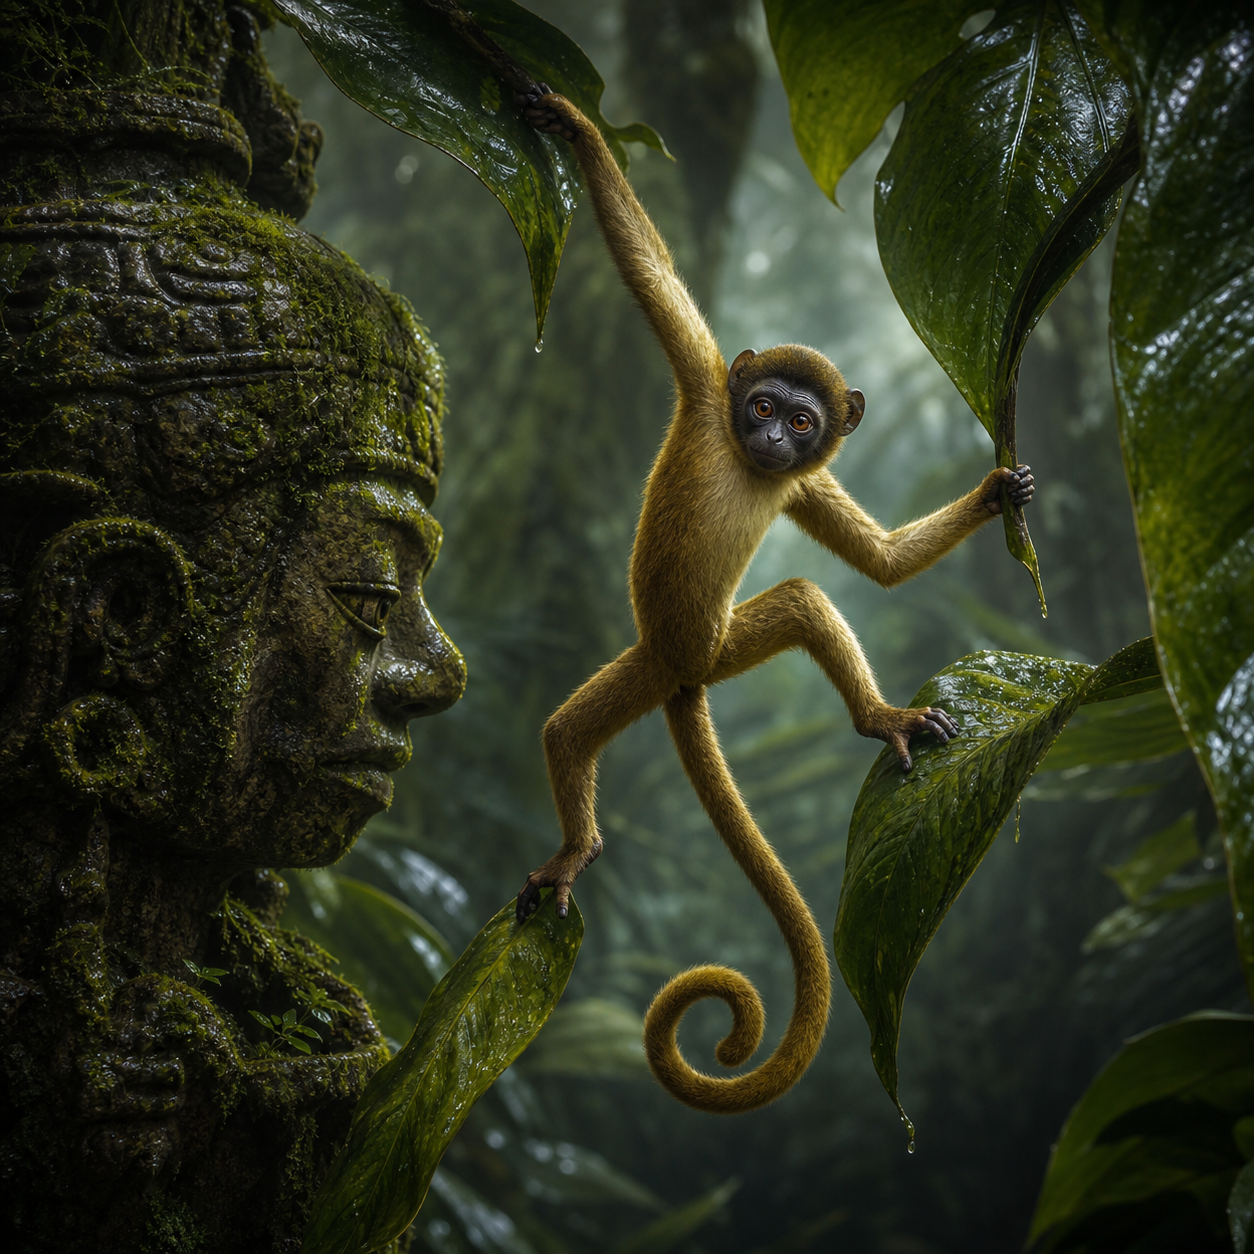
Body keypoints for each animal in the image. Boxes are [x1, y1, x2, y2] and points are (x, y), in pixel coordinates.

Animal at [513, 90, 1034, 1114]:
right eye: (759, 406)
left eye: (803, 420)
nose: (774, 442)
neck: (754, 462)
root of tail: (683, 672)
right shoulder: (706, 382)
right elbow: (649, 274)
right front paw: (580, 131)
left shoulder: (803, 483)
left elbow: (877, 563)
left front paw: (999, 496)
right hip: (669, 659)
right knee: (567, 733)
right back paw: (575, 849)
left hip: (715, 647)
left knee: (798, 599)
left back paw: (880, 721)